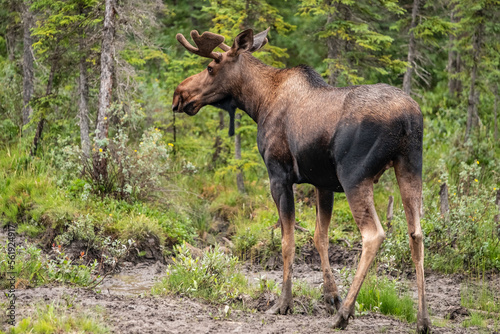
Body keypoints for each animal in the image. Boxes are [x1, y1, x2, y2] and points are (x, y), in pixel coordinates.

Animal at [172, 29, 430, 334]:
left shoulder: (279, 176)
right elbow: (320, 237)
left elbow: (288, 242)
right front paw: (330, 295)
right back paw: (422, 320)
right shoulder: (324, 183)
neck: (258, 103)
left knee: (374, 234)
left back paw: (344, 315)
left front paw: (284, 303)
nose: (179, 94)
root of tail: (408, 118)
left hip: (355, 175)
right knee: (416, 233)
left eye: (211, 67)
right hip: (410, 165)